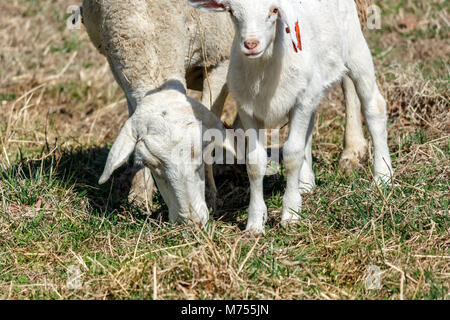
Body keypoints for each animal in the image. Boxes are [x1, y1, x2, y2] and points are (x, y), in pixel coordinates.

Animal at [82, 0, 236, 224]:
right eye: (153, 166)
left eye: (199, 156)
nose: (191, 223)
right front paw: (139, 195)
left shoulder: (221, 58)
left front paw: (211, 196)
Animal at [188, 0, 392, 235]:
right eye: (231, 12)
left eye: (273, 11)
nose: (251, 44)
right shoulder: (247, 109)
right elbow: (255, 162)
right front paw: (255, 223)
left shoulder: (300, 102)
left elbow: (292, 154)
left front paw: (291, 214)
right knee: (310, 126)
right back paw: (306, 182)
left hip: (356, 49)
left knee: (374, 107)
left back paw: (383, 176)